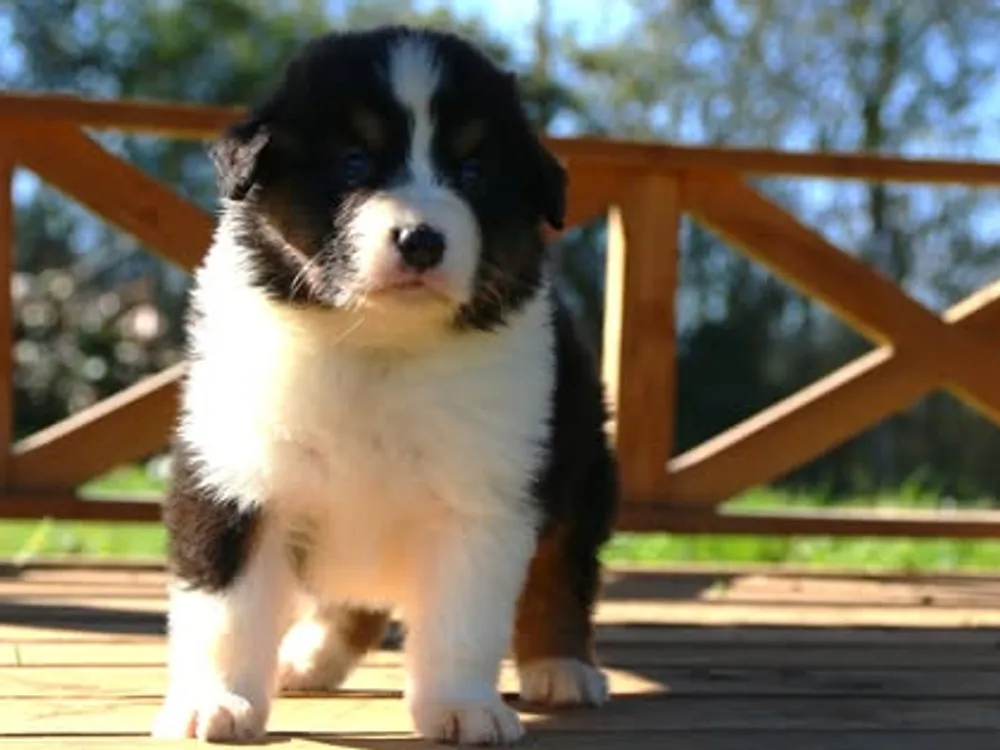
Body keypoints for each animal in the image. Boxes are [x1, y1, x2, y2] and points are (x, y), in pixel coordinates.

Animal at [152, 25, 618, 745]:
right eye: (353, 162)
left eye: (473, 173)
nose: (421, 240)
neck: (378, 348)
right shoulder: (233, 472)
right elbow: (226, 608)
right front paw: (216, 701)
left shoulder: (483, 494)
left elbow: (464, 619)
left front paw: (462, 707)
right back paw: (309, 655)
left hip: (579, 461)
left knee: (561, 570)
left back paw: (562, 666)